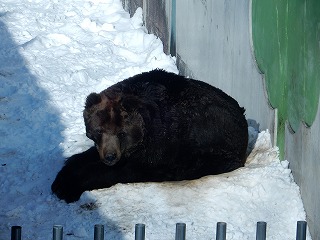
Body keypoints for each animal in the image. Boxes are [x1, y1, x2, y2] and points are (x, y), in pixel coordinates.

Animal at [51, 69, 249, 202]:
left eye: (122, 133)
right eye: (98, 130)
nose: (110, 156)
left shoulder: (158, 144)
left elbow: (123, 170)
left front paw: (69, 187)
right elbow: (84, 157)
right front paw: (62, 177)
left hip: (211, 137)